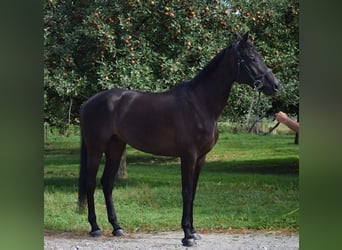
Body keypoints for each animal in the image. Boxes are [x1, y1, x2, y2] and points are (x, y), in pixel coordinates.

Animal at [78, 31, 280, 246]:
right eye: (251, 58)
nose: (276, 85)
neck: (199, 104)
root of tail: (88, 103)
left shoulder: (201, 158)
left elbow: (193, 192)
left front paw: (193, 231)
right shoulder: (188, 156)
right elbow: (187, 192)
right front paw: (186, 236)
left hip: (116, 147)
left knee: (107, 183)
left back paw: (117, 227)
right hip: (96, 148)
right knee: (90, 183)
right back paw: (95, 228)